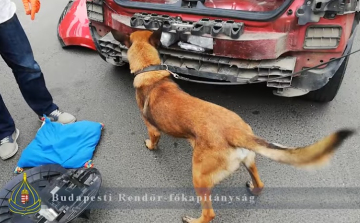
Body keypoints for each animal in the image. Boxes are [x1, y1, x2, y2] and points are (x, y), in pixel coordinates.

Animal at [112, 27, 354, 223]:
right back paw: (254, 189)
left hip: (199, 176)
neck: (150, 69)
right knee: (260, 183)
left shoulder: (152, 128)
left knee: (210, 213)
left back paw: (194, 219)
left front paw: (149, 145)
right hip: (249, 160)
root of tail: (236, 132)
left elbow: (153, 138)